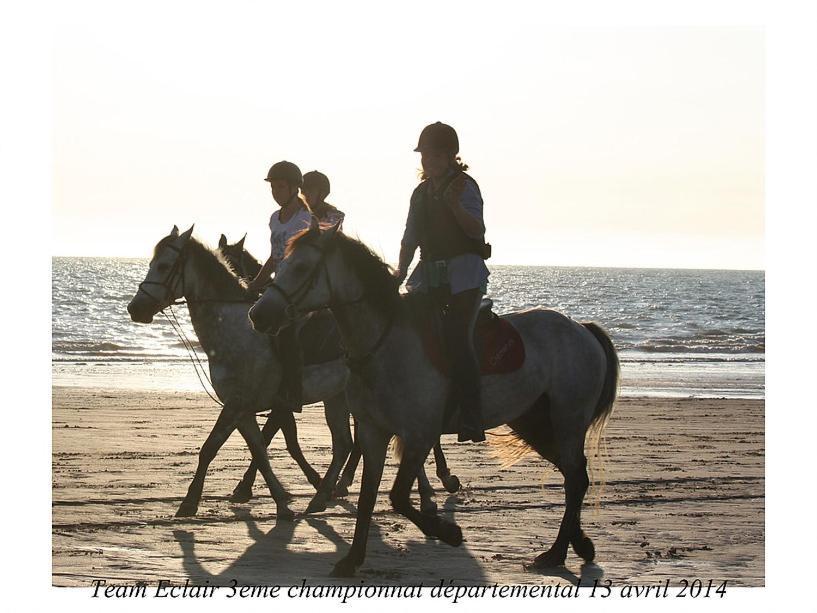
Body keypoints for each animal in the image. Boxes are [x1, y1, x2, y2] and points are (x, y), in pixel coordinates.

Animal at [249, 219, 620, 572]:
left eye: (300, 267)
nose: (258, 314)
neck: (384, 344)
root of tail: (582, 328)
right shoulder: (372, 431)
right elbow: (369, 495)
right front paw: (352, 559)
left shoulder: (419, 435)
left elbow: (398, 496)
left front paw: (448, 532)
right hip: (533, 422)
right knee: (573, 474)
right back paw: (578, 545)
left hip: (567, 419)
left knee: (575, 476)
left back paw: (557, 552)